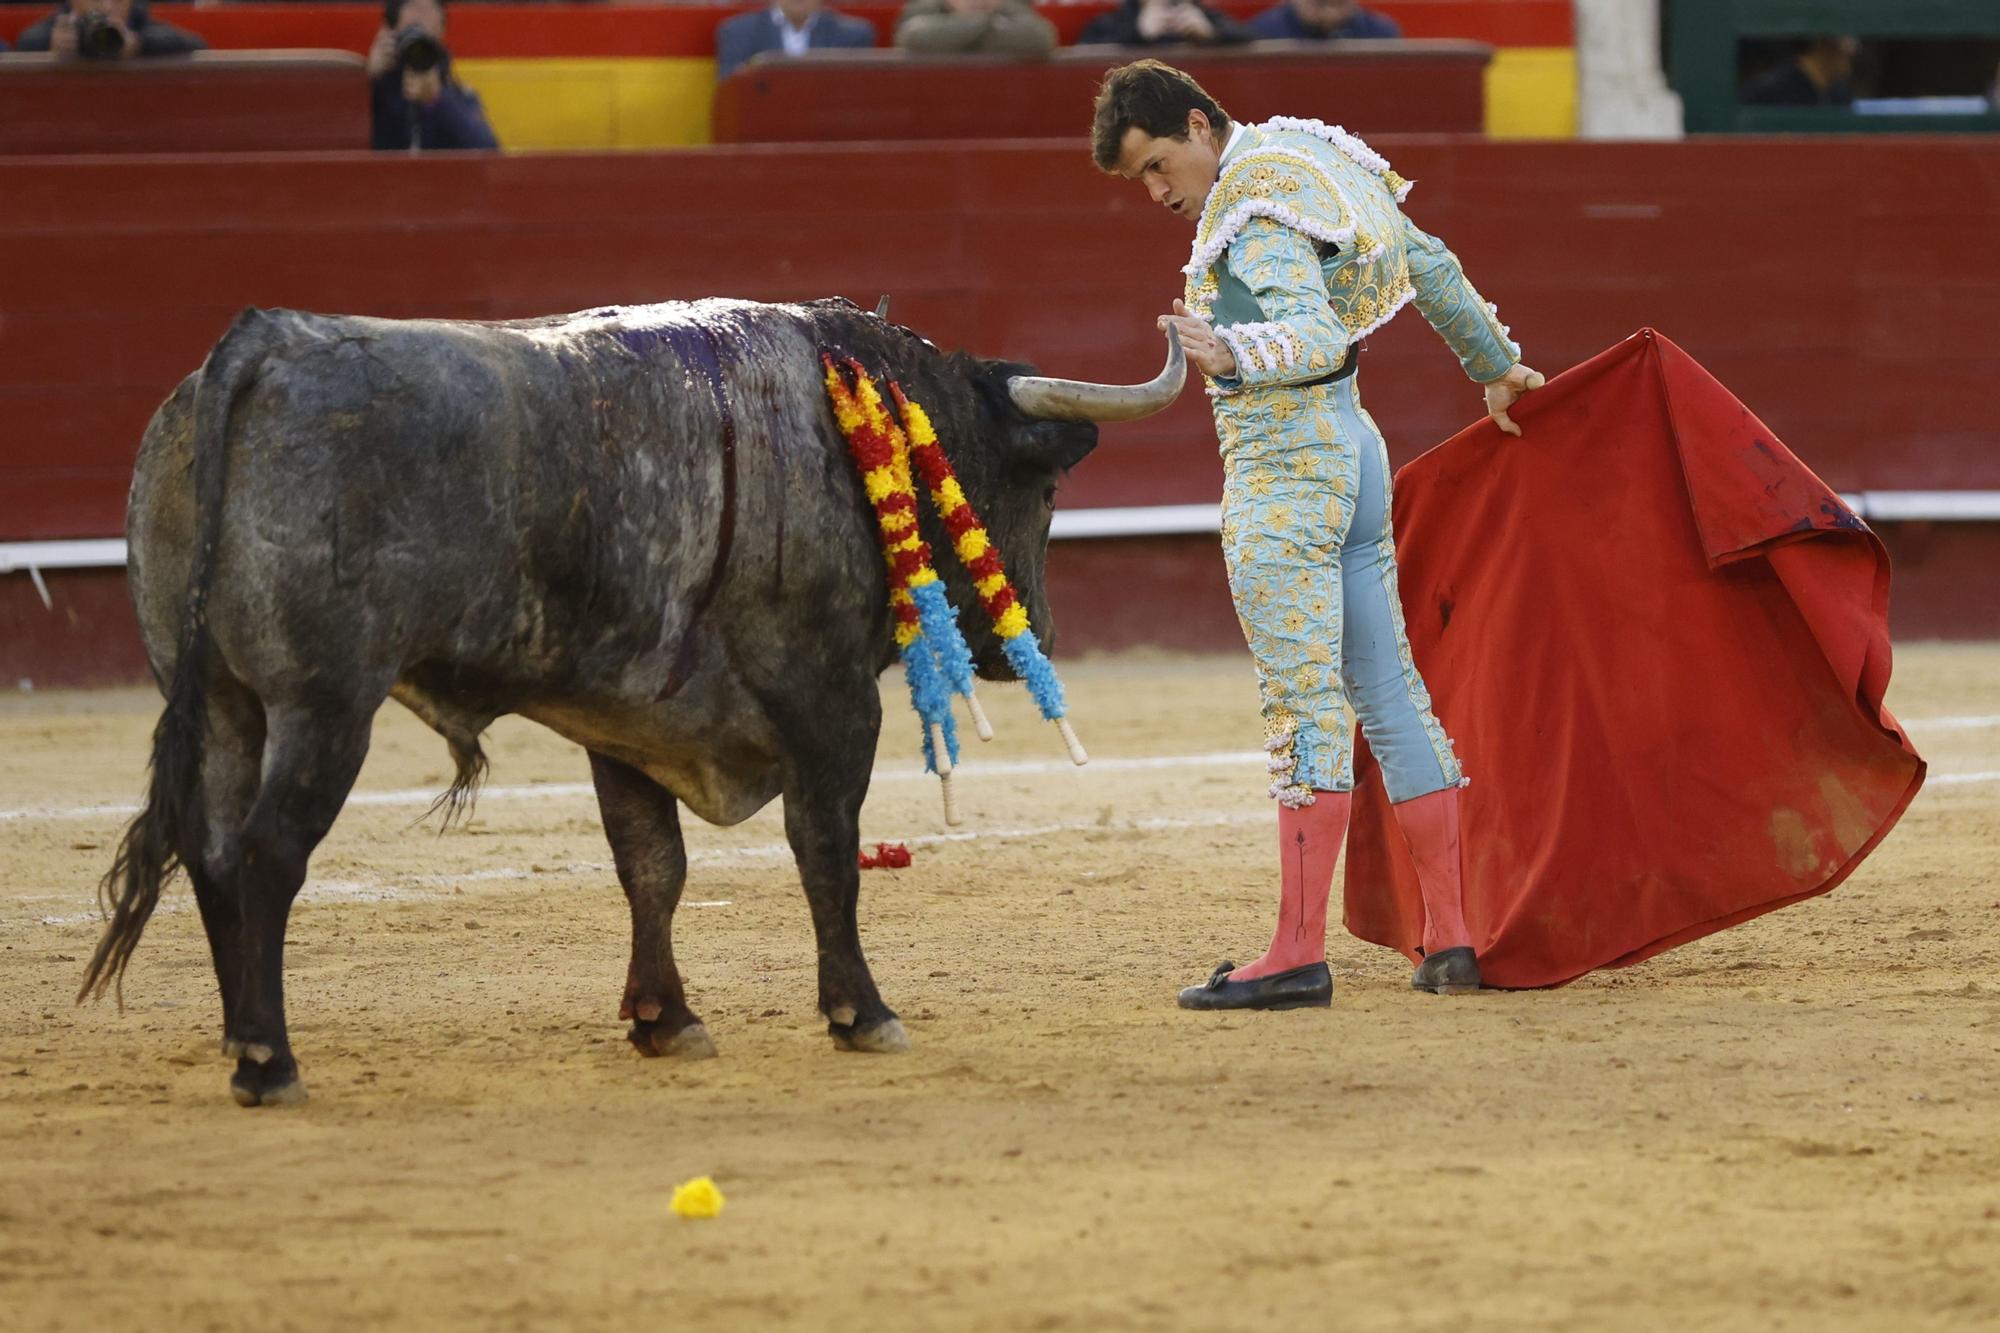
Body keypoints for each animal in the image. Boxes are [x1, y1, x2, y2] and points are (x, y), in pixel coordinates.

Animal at [82, 298, 1184, 1096]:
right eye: (1042, 490)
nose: (1034, 636)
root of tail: (262, 344)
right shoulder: (829, 701)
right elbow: (825, 854)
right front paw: (860, 1012)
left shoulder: (627, 720)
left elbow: (651, 866)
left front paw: (667, 1020)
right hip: (324, 705)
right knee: (267, 854)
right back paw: (271, 1062)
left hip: (223, 701)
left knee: (212, 853)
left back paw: (241, 1036)